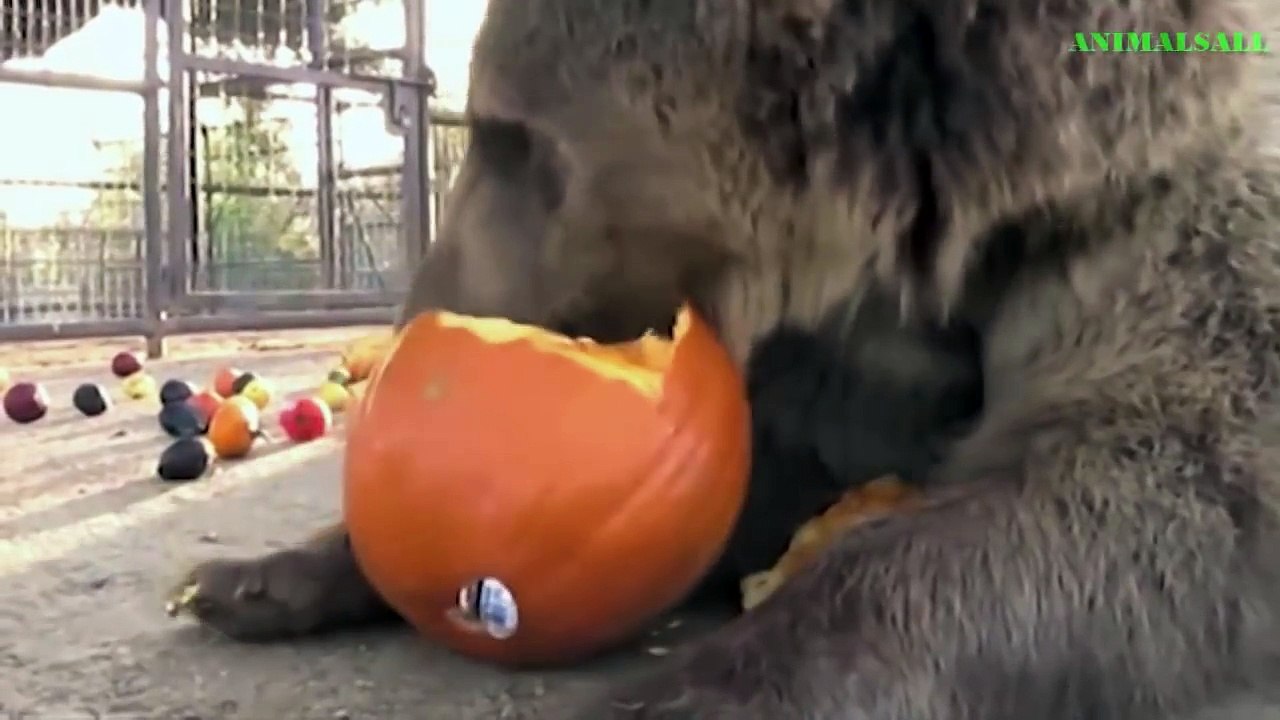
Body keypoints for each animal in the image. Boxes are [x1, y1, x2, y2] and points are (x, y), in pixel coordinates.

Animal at [169, 0, 1280, 718]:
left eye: (509, 134)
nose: (416, 318)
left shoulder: (1151, 238)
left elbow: (1143, 488)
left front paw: (687, 688)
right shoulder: (844, 358)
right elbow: (753, 484)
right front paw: (266, 576)